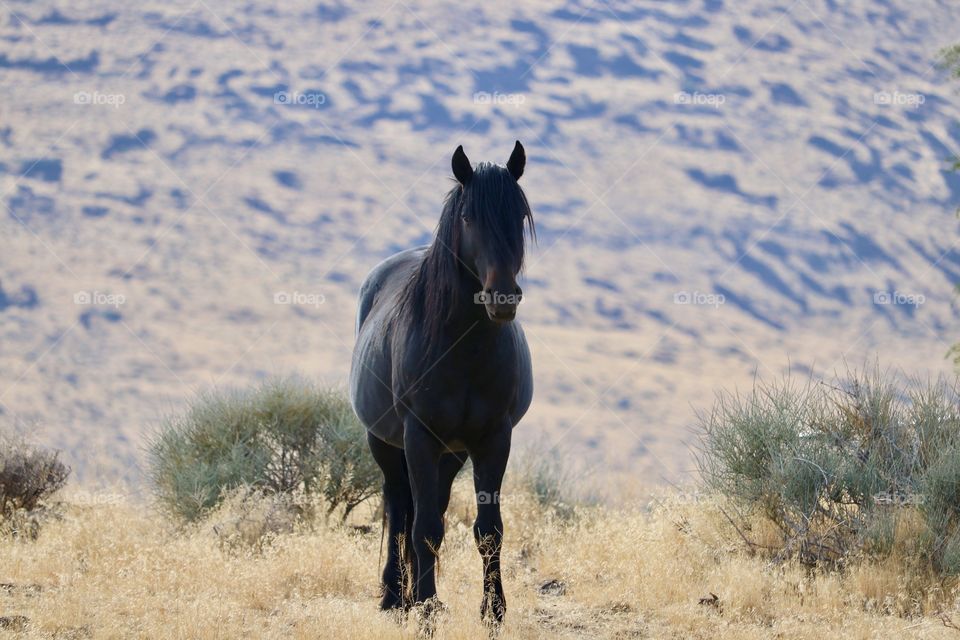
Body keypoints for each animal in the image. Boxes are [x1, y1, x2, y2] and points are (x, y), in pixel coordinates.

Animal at [350, 141, 536, 624]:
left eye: (519, 216)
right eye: (468, 217)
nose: (502, 298)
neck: (462, 350)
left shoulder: (493, 439)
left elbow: (488, 530)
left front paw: (493, 611)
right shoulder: (418, 436)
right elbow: (424, 528)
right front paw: (427, 608)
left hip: (451, 455)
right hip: (387, 444)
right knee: (400, 509)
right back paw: (395, 597)